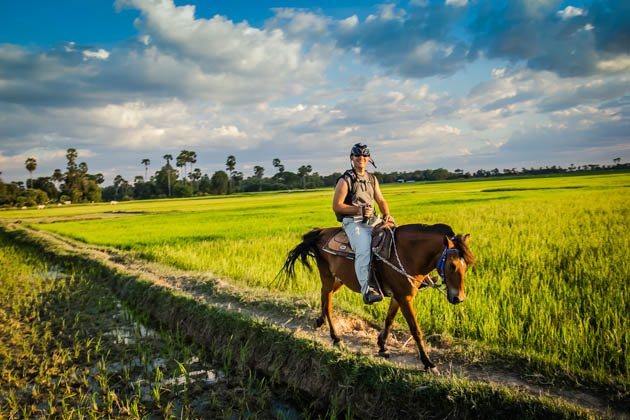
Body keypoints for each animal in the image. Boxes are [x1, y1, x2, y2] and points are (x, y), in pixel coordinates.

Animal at [278, 223, 476, 370]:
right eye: (451, 265)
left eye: (466, 266)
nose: (458, 298)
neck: (407, 254)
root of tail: (320, 232)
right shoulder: (405, 298)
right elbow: (415, 330)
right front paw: (427, 362)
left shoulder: (398, 296)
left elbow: (389, 320)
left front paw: (381, 345)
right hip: (327, 275)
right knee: (327, 302)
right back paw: (336, 338)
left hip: (339, 278)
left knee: (324, 295)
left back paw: (320, 321)